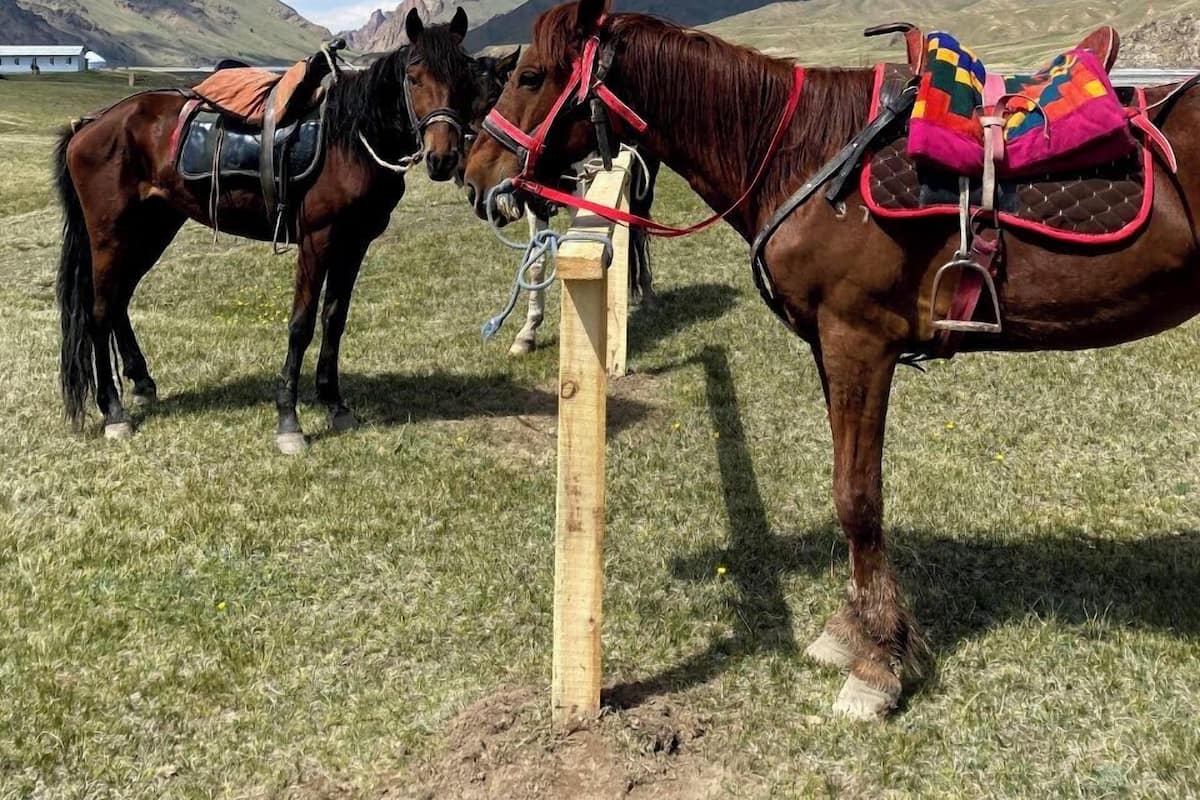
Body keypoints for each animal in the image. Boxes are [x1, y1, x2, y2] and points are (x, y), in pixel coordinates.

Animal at [55, 10, 479, 454]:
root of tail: (90, 124)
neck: (350, 139)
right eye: (413, 77)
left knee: (118, 301)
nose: (442, 157)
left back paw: (141, 383)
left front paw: (335, 403)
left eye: (465, 76)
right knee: (99, 312)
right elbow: (301, 325)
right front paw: (289, 421)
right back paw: (113, 411)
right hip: (110, 235)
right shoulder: (317, 240)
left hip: (153, 228)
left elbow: (334, 319)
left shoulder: (354, 243)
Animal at [471, 47, 659, 357]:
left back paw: (647, 289)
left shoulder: (581, 194)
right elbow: (536, 263)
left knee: (640, 231)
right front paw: (527, 332)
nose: (476, 186)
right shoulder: (535, 201)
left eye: (492, 98)